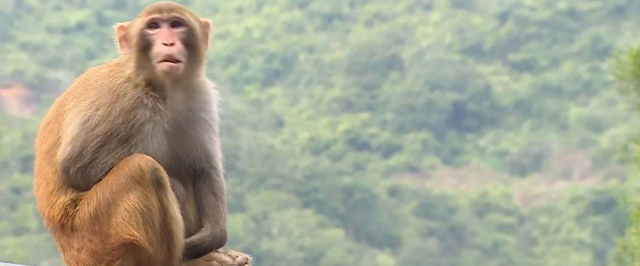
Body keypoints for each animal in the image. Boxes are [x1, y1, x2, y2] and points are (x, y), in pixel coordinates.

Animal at [32, 2, 251, 266]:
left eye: (176, 24)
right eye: (153, 26)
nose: (168, 42)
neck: (163, 89)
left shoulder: (199, 94)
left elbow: (203, 167)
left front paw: (214, 235)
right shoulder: (124, 99)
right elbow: (76, 166)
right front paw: (175, 188)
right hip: (94, 235)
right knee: (144, 170)